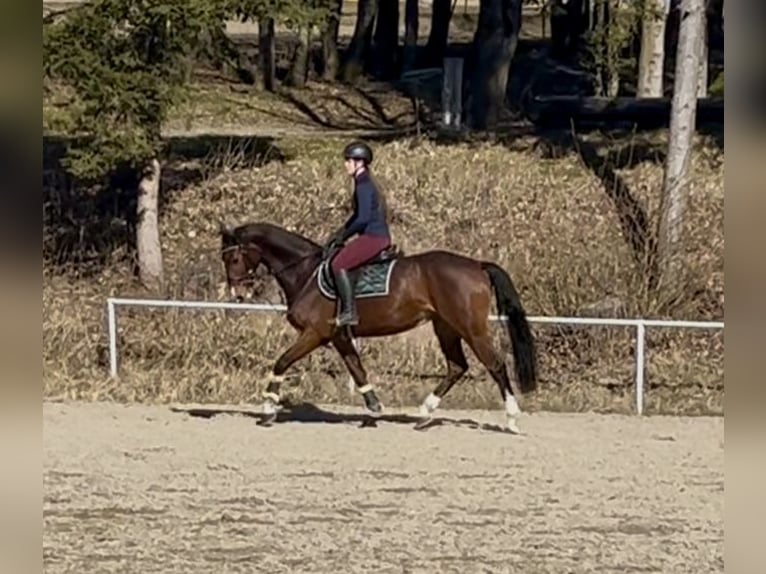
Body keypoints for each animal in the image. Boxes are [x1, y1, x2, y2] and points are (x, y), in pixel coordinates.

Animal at [218, 222, 540, 436]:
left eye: (234, 258)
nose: (238, 294)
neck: (306, 272)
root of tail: (476, 264)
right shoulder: (338, 336)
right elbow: (357, 369)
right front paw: (374, 405)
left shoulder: (314, 334)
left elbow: (282, 361)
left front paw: (268, 408)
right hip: (446, 326)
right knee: (457, 366)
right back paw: (424, 414)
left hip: (470, 327)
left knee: (495, 364)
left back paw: (512, 419)